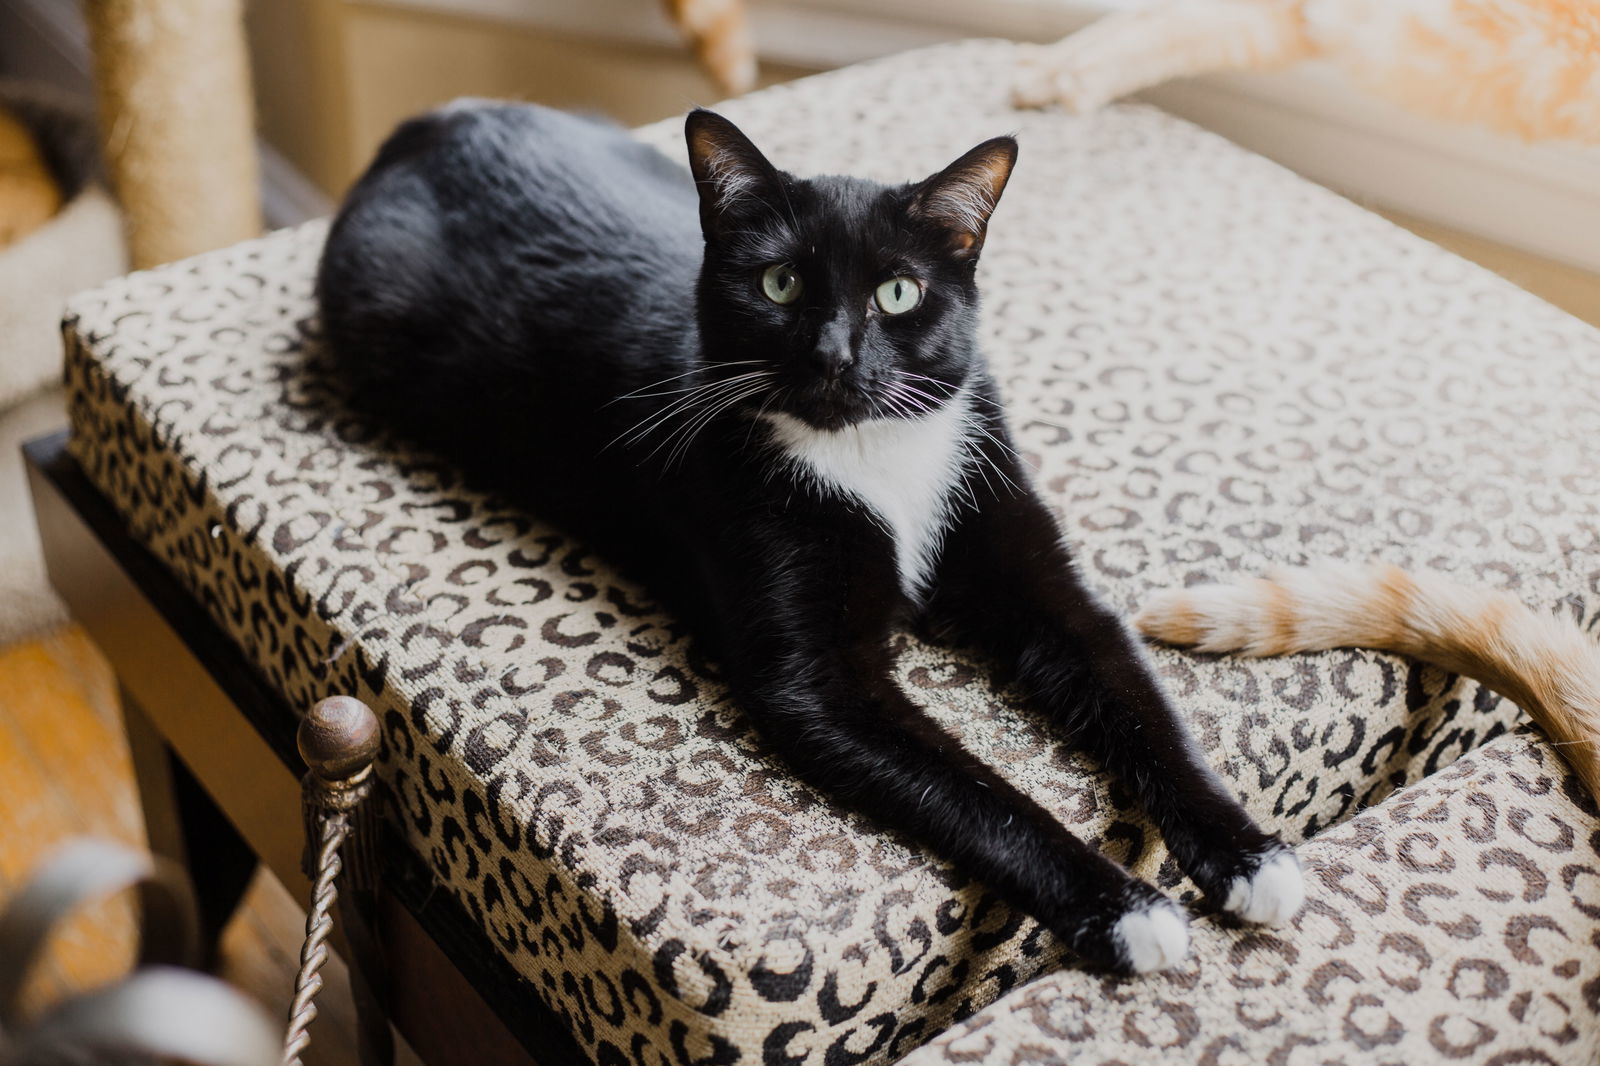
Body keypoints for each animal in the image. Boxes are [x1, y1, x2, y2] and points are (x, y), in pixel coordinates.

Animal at [318, 101, 1305, 973]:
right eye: (779, 282)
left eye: (899, 292)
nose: (834, 355)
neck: (874, 453)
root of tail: (427, 126)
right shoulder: (814, 677)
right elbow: (980, 795)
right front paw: (1127, 912)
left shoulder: (1017, 533)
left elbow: (1140, 699)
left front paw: (1250, 857)